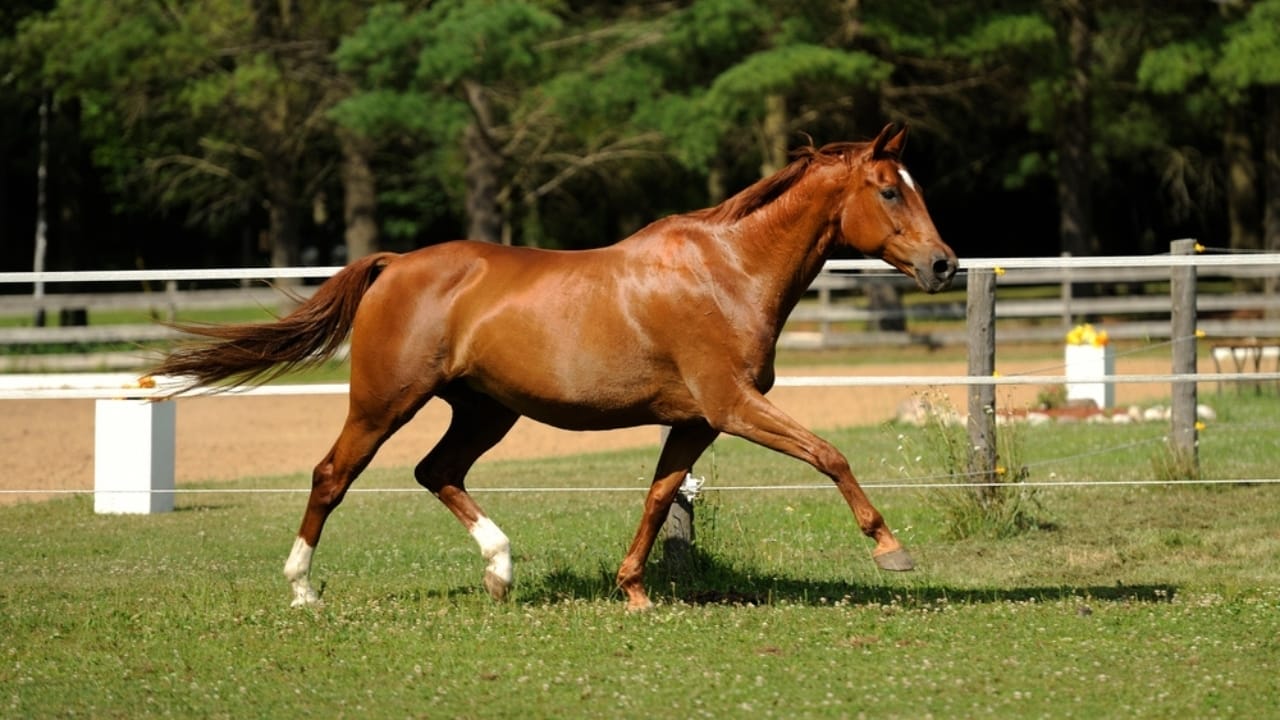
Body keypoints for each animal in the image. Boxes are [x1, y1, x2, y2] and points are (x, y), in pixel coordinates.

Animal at [152, 123, 958, 611]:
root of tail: (394, 264)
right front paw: (892, 551)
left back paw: (501, 570)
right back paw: (303, 589)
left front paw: (633, 590)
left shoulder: (697, 420)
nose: (944, 265)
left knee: (437, 472)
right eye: (890, 189)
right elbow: (830, 453)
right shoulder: (732, 406)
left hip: (485, 410)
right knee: (333, 476)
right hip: (386, 402)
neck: (728, 272)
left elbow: (658, 497)